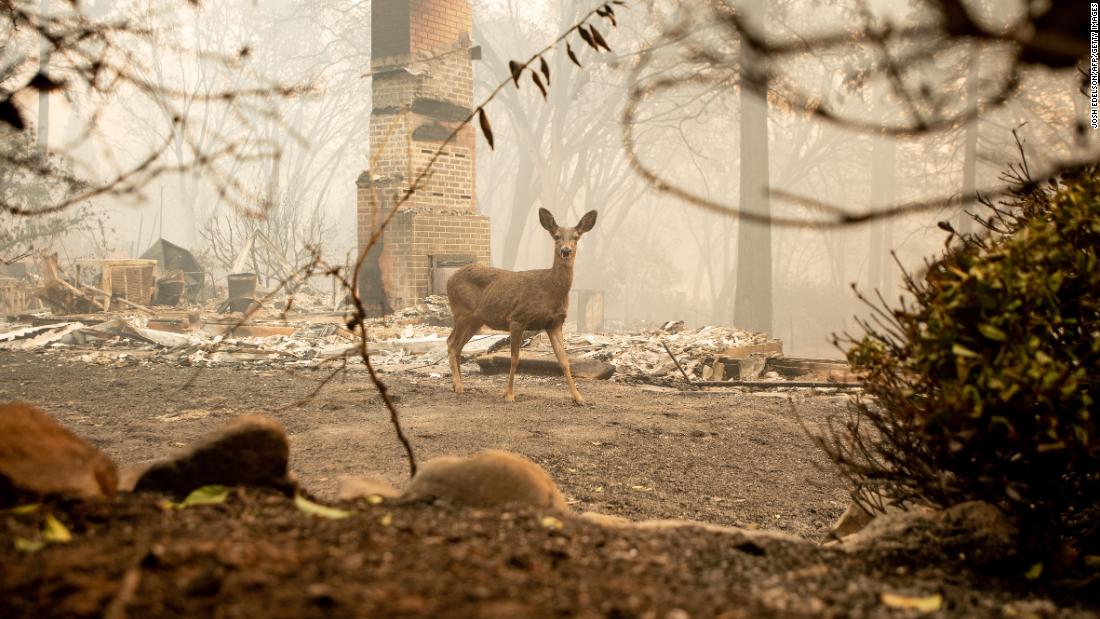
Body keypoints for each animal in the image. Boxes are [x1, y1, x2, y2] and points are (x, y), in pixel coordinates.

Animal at [446, 207, 598, 406]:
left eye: (576, 237)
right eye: (556, 236)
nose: (566, 251)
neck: (550, 291)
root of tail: (449, 279)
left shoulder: (555, 323)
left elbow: (564, 360)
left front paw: (579, 398)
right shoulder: (517, 318)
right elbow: (515, 358)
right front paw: (509, 394)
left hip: (476, 320)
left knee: (458, 346)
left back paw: (457, 384)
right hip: (461, 312)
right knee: (451, 343)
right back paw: (458, 385)